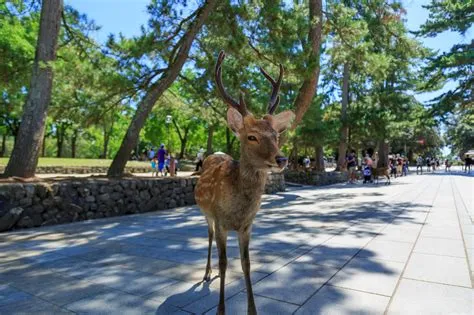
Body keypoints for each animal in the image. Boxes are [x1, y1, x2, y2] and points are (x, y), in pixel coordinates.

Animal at [194, 50, 294, 314]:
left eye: (276, 135)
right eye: (251, 137)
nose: (281, 158)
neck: (237, 211)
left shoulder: (247, 226)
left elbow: (246, 264)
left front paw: (252, 309)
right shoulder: (221, 221)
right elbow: (224, 262)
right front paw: (220, 309)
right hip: (206, 214)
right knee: (208, 236)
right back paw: (207, 273)